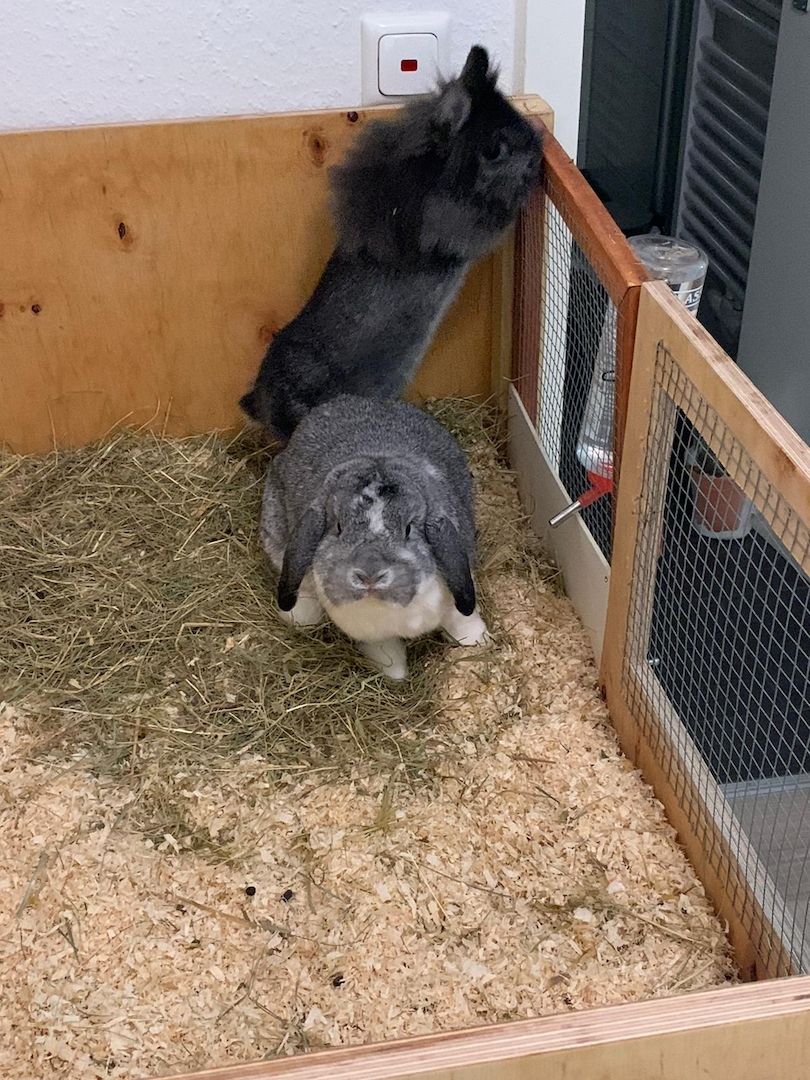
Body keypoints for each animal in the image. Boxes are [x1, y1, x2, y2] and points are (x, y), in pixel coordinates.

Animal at [260, 394, 490, 679]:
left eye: (408, 529)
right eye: (338, 527)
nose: (369, 575)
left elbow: (462, 619)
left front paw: (479, 640)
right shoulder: (372, 634)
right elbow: (386, 652)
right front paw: (397, 675)